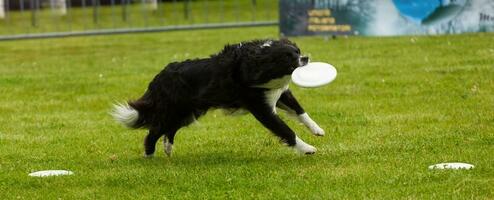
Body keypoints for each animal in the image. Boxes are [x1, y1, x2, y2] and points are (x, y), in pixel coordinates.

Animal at [114, 38, 326, 155]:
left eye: (298, 51)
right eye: (289, 58)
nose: (306, 58)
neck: (257, 63)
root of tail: (158, 78)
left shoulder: (277, 93)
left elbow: (300, 111)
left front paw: (317, 130)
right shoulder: (260, 107)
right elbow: (286, 130)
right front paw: (308, 149)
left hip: (188, 112)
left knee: (168, 130)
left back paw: (167, 148)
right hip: (173, 110)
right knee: (154, 131)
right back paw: (149, 155)